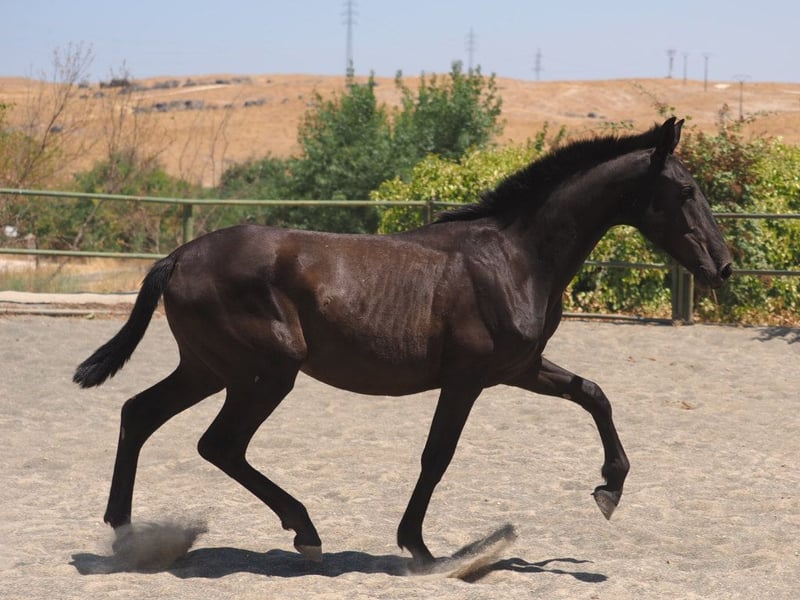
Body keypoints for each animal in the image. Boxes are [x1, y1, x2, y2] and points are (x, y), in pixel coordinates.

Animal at [74, 117, 732, 569]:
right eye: (685, 191)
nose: (723, 266)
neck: (515, 259)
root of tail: (178, 256)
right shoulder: (467, 379)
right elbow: (437, 455)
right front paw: (419, 547)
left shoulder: (521, 368)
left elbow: (594, 394)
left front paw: (608, 489)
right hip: (264, 373)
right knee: (219, 444)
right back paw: (304, 531)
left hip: (209, 369)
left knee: (140, 414)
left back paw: (127, 535)